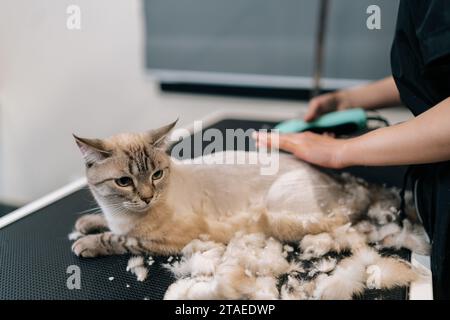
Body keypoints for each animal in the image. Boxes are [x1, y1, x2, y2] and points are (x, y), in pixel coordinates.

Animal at [71, 120, 426, 258]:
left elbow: (120, 239)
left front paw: (85, 243)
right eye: (124, 182)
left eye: (157, 175)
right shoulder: (116, 215)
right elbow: (103, 222)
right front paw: (86, 223)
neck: (123, 214)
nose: (147, 197)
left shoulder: (171, 241)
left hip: (280, 208)